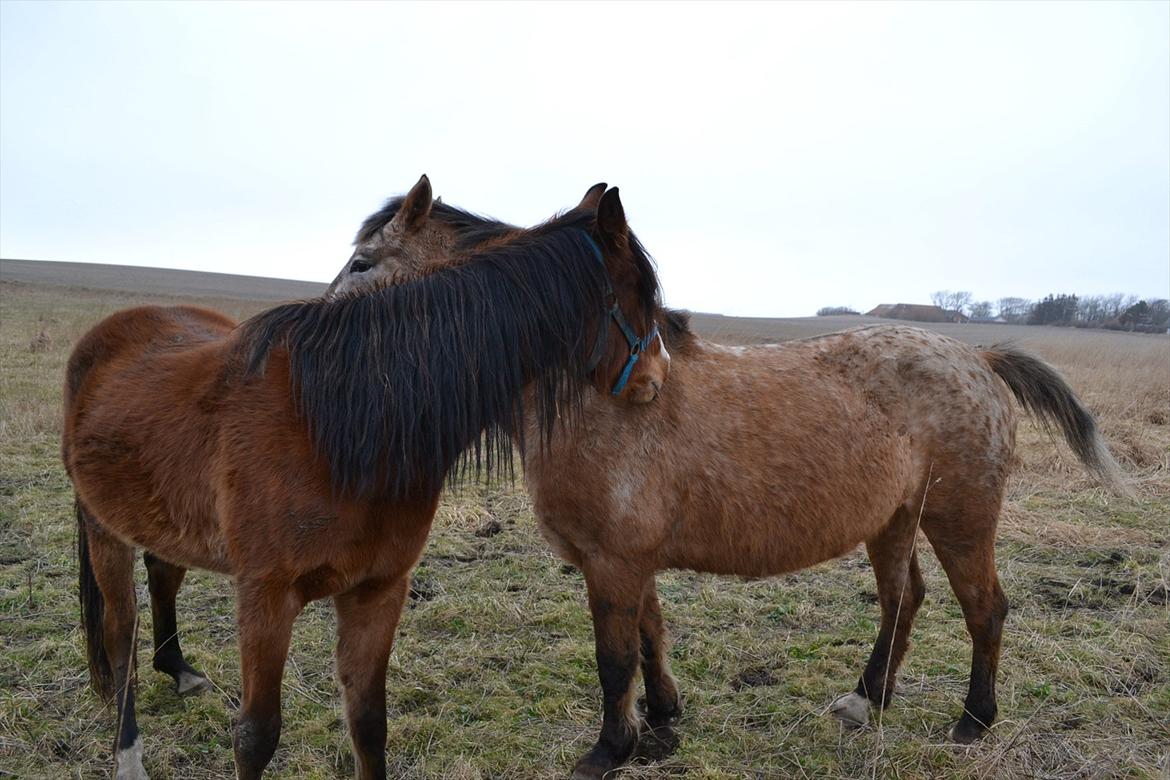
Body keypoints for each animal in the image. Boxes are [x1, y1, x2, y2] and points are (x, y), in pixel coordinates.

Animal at [61, 176, 669, 780]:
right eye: (644, 298)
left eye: (361, 263)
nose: (659, 374)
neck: (343, 423)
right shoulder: (265, 596)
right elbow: (256, 735)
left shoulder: (378, 589)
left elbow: (370, 723)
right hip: (104, 531)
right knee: (120, 641)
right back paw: (129, 754)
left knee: (163, 573)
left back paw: (177, 668)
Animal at [327, 184, 1123, 780]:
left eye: (364, 262)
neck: (592, 395)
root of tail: (980, 359)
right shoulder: (628, 560)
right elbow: (650, 636)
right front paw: (661, 721)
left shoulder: (612, 561)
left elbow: (613, 659)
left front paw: (608, 750)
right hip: (893, 519)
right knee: (904, 601)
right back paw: (867, 700)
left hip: (959, 519)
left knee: (984, 609)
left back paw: (972, 721)